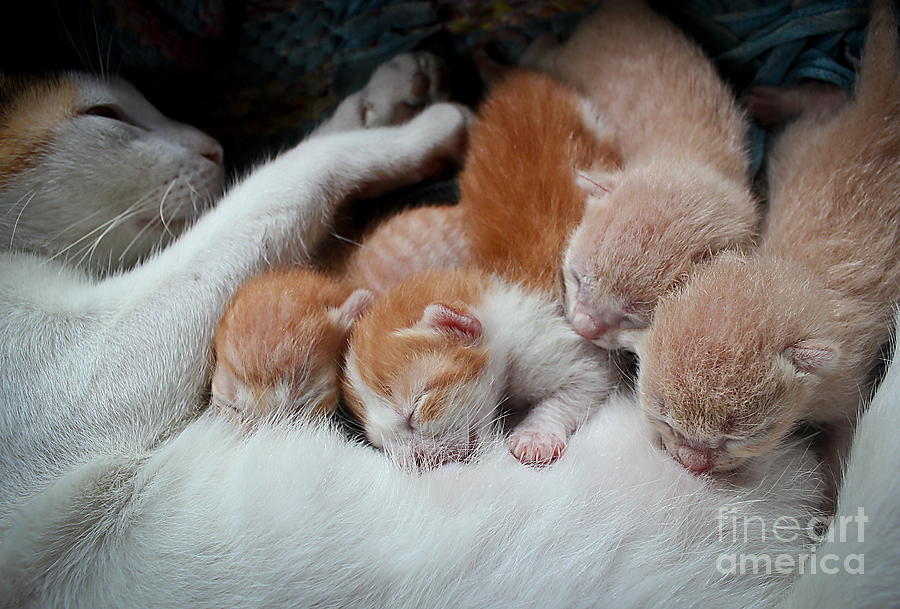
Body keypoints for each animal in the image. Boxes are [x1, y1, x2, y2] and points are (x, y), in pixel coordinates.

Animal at [636, 0, 896, 472]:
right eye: (665, 418)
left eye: (735, 436)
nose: (692, 464)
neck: (794, 274)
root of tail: (882, 114)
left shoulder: (847, 388)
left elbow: (843, 439)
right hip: (799, 145)